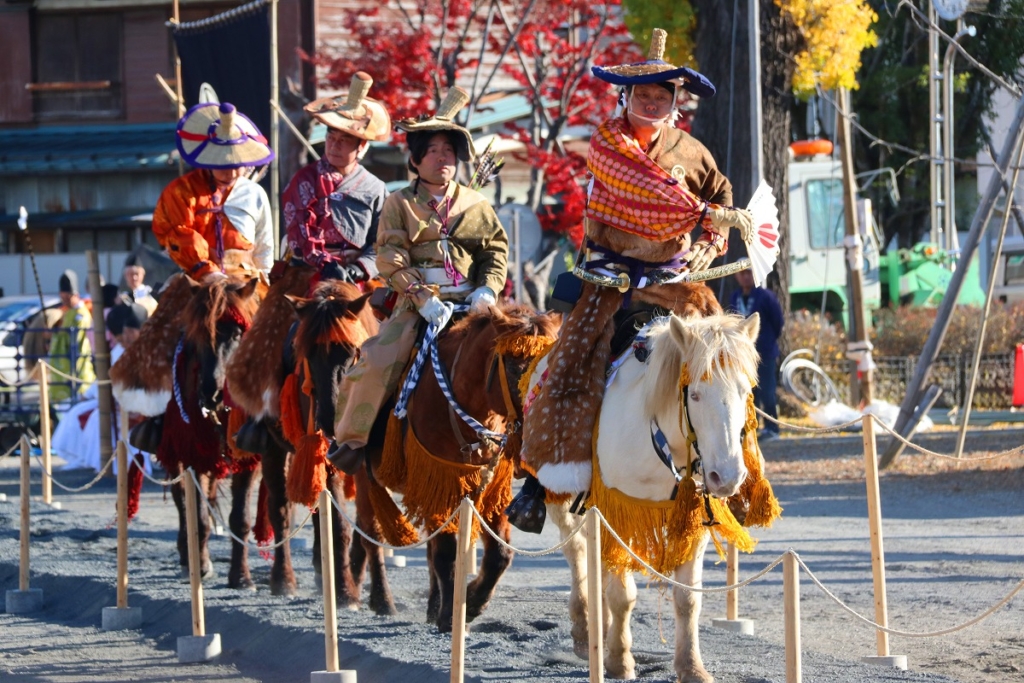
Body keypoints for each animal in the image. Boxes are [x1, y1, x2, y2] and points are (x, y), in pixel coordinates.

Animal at [364, 307, 561, 634]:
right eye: (515, 367)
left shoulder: (491, 486)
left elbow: (499, 555)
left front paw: (470, 603)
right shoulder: (440, 478)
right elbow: (446, 552)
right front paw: (450, 616)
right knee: (368, 533)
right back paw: (374, 599)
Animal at [552, 313, 761, 683]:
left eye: (745, 390)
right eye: (695, 395)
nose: (727, 476)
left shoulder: (693, 519)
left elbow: (688, 598)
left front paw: (691, 667)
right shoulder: (618, 511)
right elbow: (623, 595)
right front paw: (620, 660)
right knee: (576, 551)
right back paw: (585, 630)